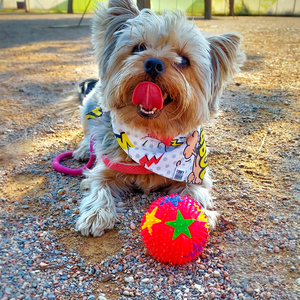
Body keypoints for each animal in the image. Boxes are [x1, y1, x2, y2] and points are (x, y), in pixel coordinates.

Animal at [74, 0, 245, 237]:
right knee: (88, 133)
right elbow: (99, 185)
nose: (153, 63)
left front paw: (199, 215)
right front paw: (95, 215)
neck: (153, 134)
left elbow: (196, 192)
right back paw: (83, 150)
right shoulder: (106, 167)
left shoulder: (196, 173)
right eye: (138, 48)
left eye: (184, 60)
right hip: (89, 107)